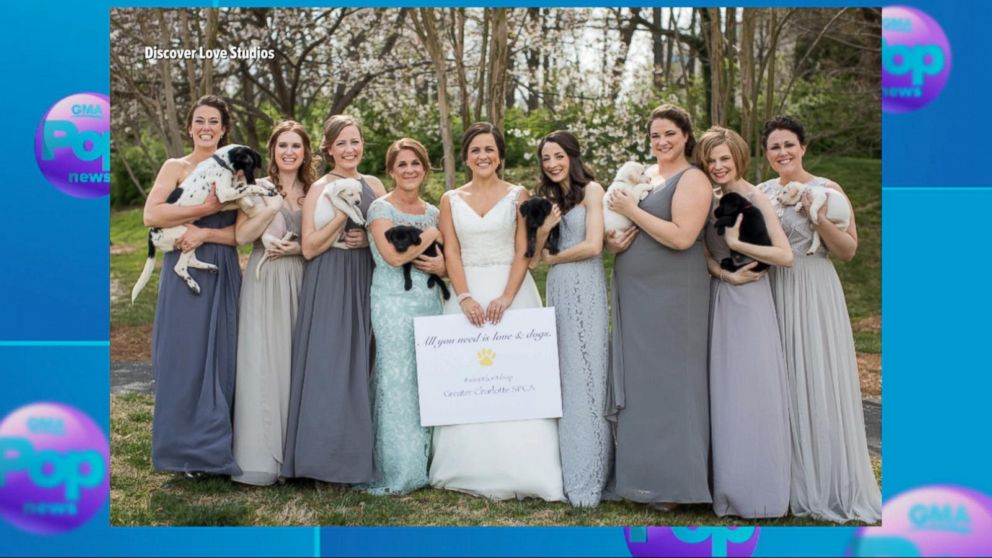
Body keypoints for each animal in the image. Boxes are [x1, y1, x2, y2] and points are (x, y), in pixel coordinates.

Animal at [130, 144, 276, 302]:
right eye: (249, 164)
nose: (252, 180)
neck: (221, 163)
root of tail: (151, 235)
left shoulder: (228, 196)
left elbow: (246, 186)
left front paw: (268, 185)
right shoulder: (224, 194)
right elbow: (247, 188)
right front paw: (262, 190)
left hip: (192, 239)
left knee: (190, 261)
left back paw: (208, 267)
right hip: (186, 235)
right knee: (179, 267)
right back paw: (193, 285)